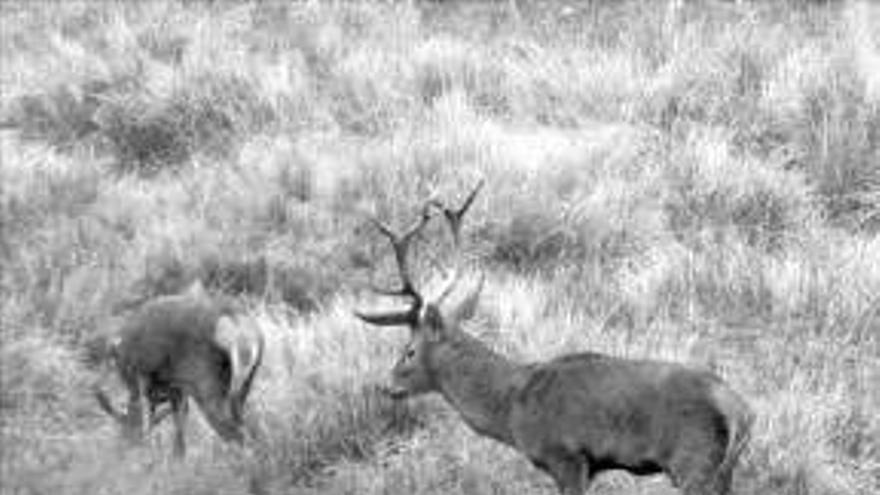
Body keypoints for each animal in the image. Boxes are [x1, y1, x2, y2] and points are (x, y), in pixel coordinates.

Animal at [354, 183, 752, 495]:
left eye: (409, 351)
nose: (386, 386)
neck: (512, 408)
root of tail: (741, 409)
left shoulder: (566, 455)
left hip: (694, 460)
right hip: (720, 469)